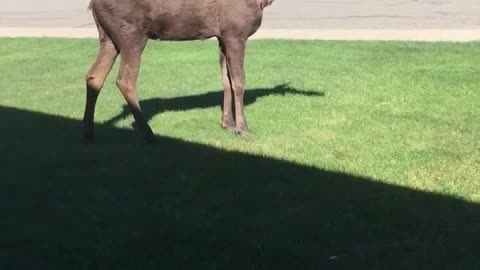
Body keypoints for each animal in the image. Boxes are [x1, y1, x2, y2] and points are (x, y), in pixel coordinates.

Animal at [83, 0, 274, 143]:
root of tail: (93, 4)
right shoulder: (235, 32)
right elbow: (239, 81)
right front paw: (243, 128)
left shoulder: (223, 35)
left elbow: (226, 80)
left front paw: (227, 124)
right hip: (131, 31)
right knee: (125, 80)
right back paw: (147, 133)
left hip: (109, 37)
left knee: (94, 76)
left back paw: (88, 133)